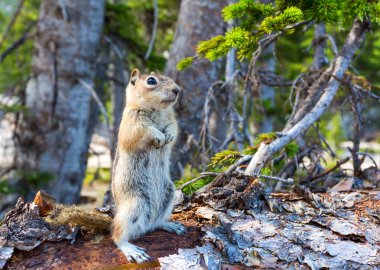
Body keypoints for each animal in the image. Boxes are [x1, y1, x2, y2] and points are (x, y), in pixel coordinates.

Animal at [110, 68, 186, 262]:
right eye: (151, 81)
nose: (177, 90)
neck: (157, 110)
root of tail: (145, 226)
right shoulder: (131, 124)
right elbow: (144, 131)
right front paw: (159, 136)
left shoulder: (172, 119)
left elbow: (174, 128)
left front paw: (169, 136)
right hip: (135, 204)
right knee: (117, 236)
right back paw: (132, 250)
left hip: (169, 193)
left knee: (155, 224)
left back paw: (170, 225)